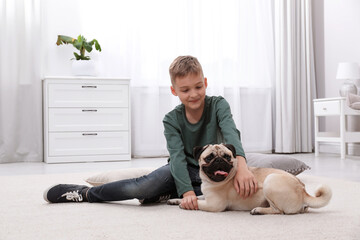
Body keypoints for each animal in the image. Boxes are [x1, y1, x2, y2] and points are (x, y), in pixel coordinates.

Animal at [168, 143, 332, 215]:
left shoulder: (214, 205)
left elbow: (197, 203)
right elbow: (195, 197)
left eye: (227, 157)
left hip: (270, 182)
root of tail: (303, 190)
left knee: (278, 211)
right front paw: (176, 200)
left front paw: (183, 204)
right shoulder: (205, 196)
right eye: (209, 158)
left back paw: (258, 210)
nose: (219, 161)